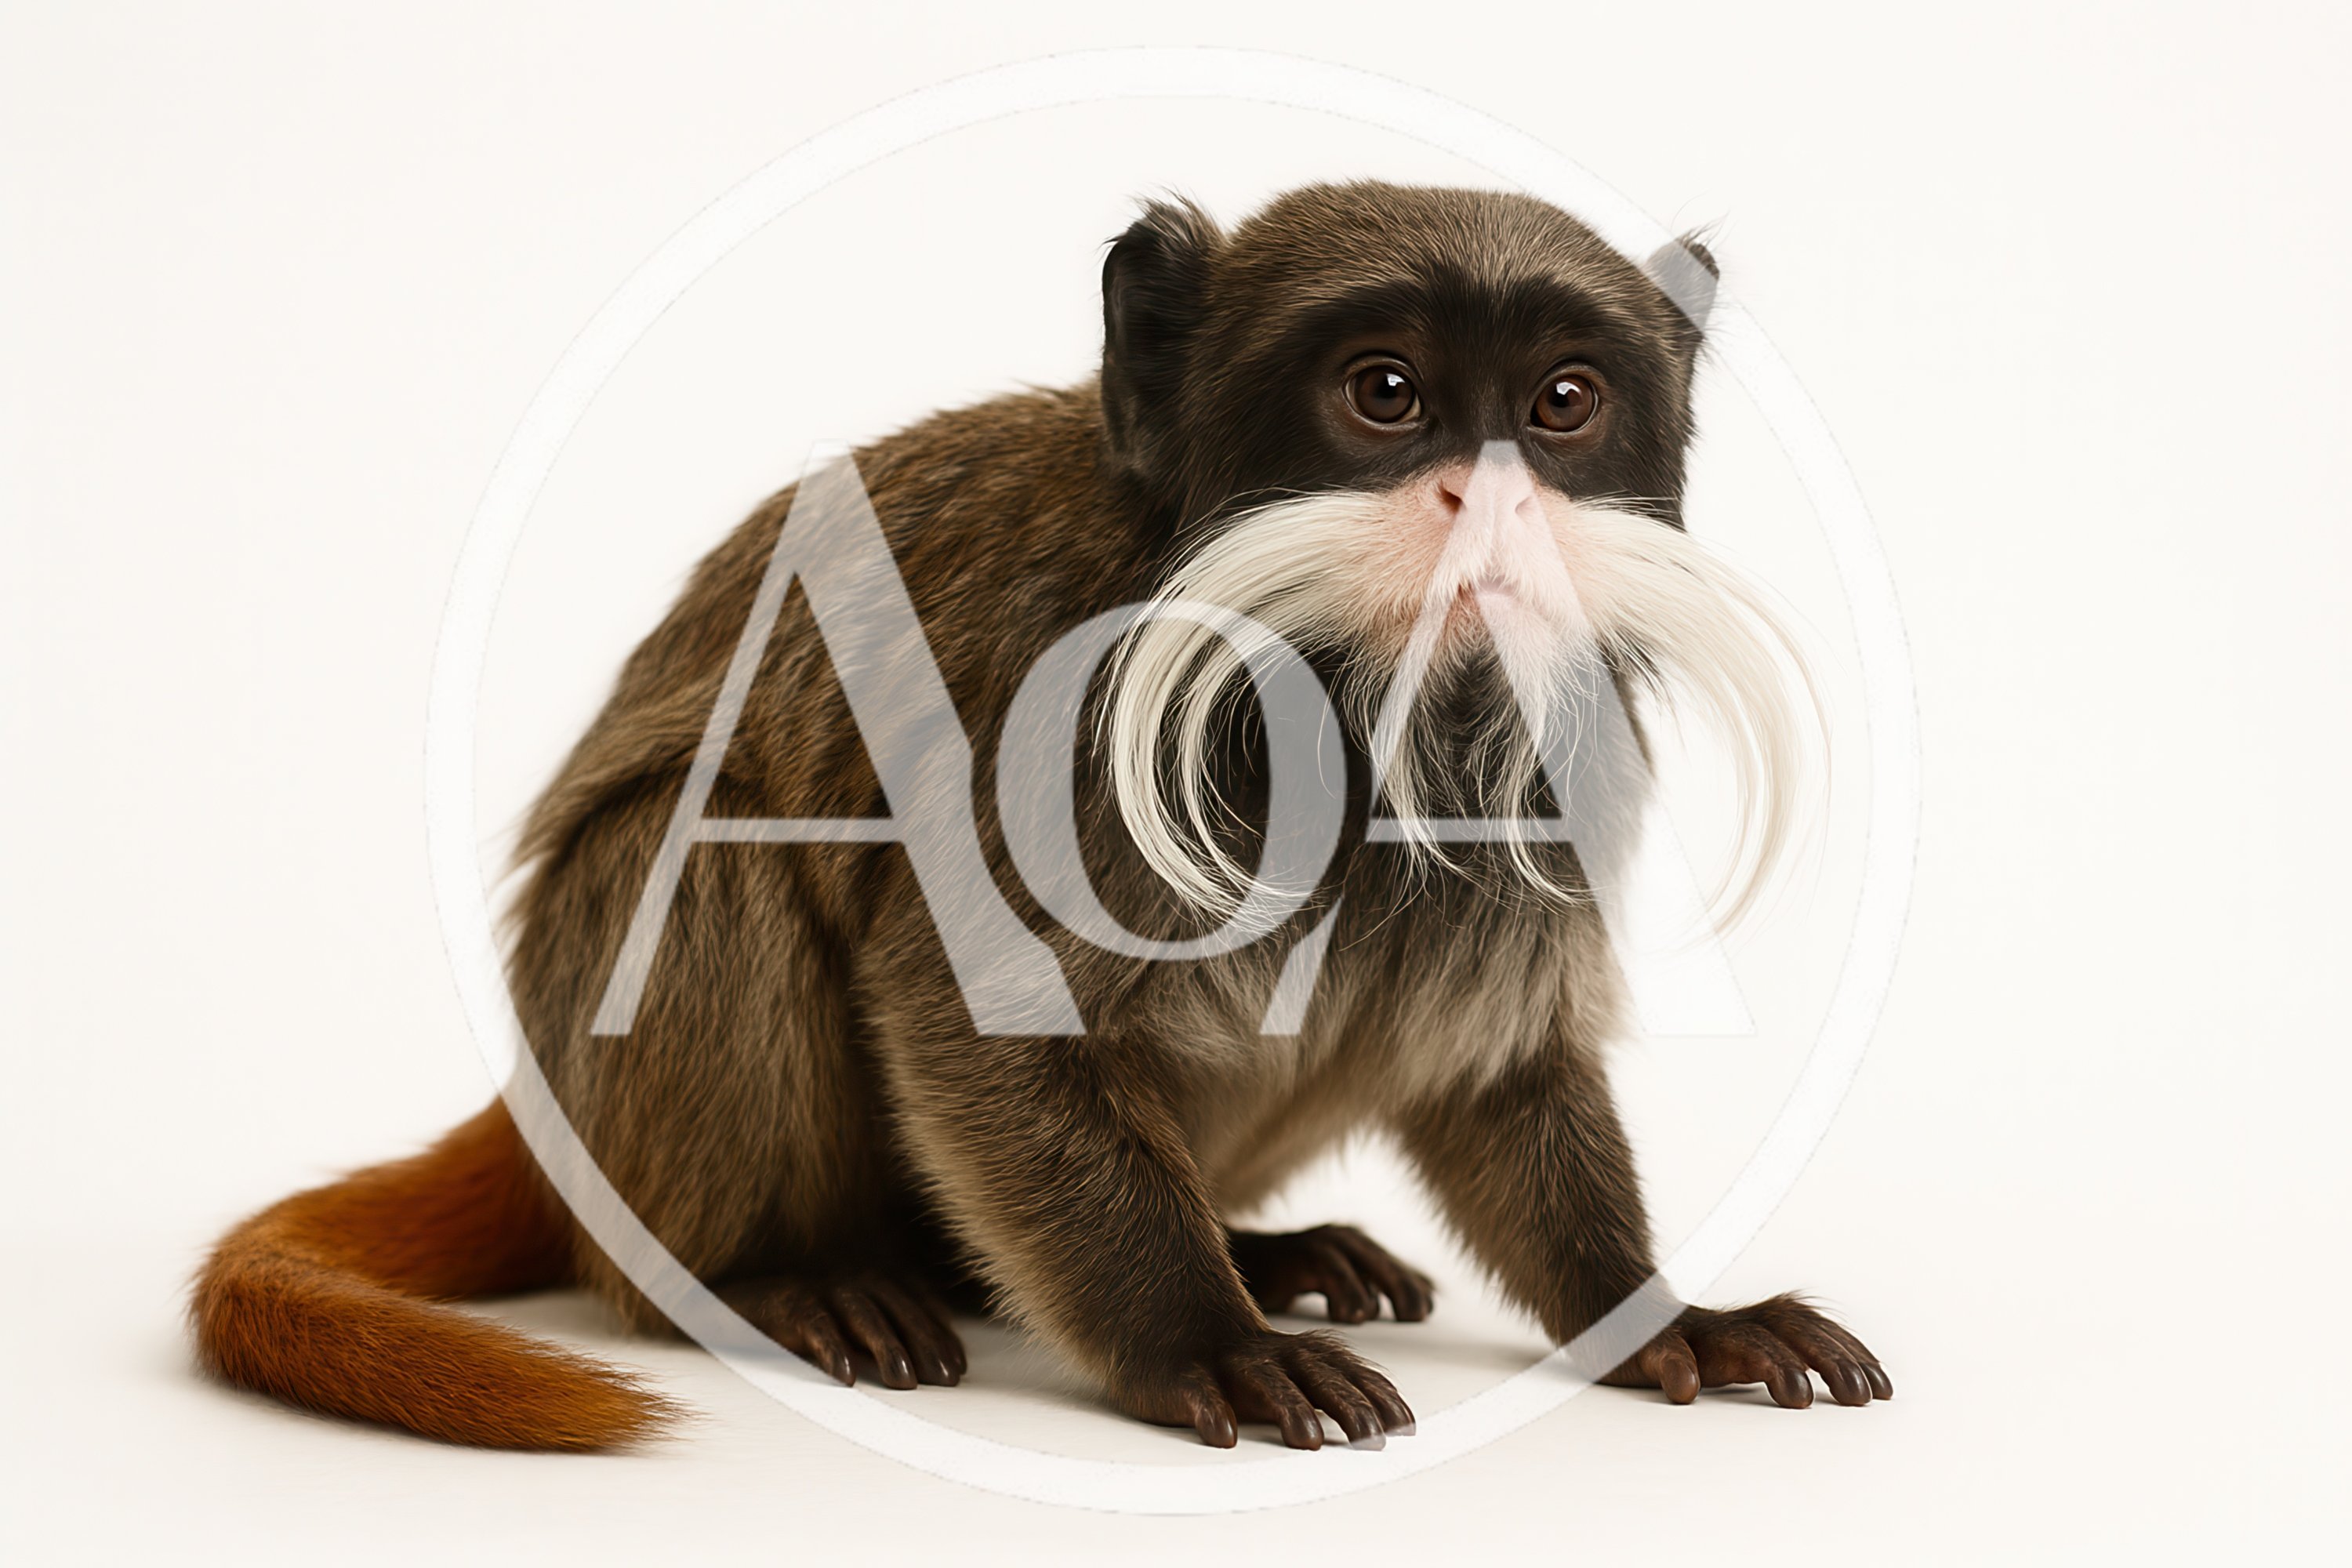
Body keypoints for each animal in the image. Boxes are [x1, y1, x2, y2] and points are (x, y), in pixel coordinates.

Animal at [191, 181, 1890, 1453]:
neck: (1341, 704)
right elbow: (968, 1015)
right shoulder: (1063, 710)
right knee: (707, 851)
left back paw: (1260, 1248)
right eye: (1388, 395)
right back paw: (782, 1277)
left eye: (1560, 405)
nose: (1491, 498)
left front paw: (1657, 1313)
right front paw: (1201, 1341)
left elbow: (1496, 1069)